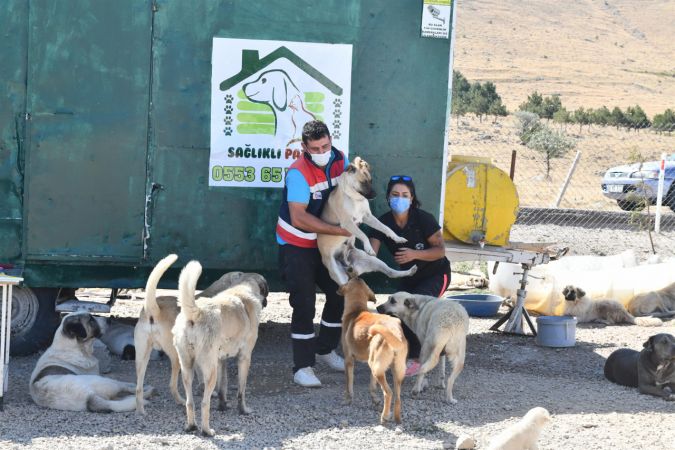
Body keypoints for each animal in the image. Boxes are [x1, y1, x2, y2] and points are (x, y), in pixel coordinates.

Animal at [340, 276, 410, 424]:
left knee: (388, 393)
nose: (356, 275)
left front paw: (348, 400)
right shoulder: (371, 364)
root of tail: (395, 332)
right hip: (392, 370)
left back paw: (384, 417)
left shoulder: (348, 360)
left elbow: (349, 384)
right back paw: (397, 418)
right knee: (398, 397)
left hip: (377, 368)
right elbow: (372, 386)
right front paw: (375, 401)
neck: (357, 310)